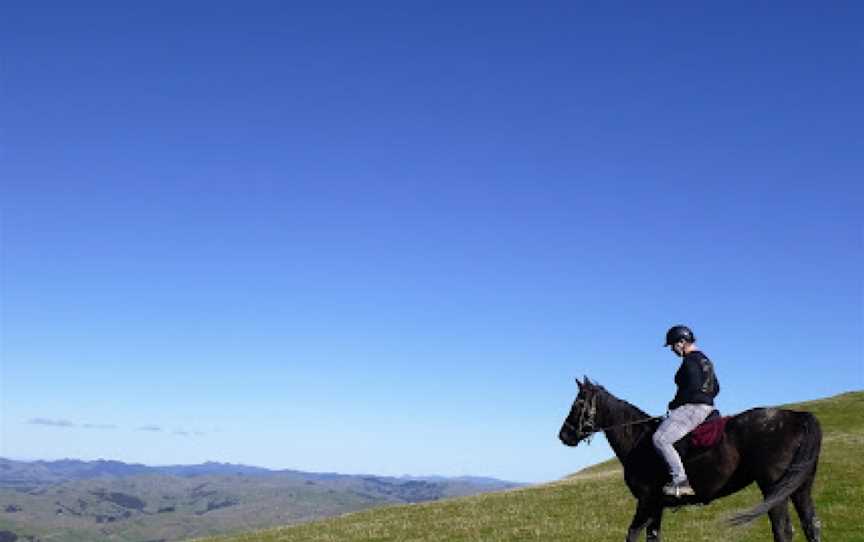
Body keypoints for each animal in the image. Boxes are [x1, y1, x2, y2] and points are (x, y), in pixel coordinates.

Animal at [556, 380, 820, 540]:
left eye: (578, 403)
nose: (564, 435)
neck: (639, 440)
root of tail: (797, 417)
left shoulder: (646, 502)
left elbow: (632, 534)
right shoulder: (656, 507)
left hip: (774, 491)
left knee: (783, 531)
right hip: (800, 489)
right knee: (811, 526)